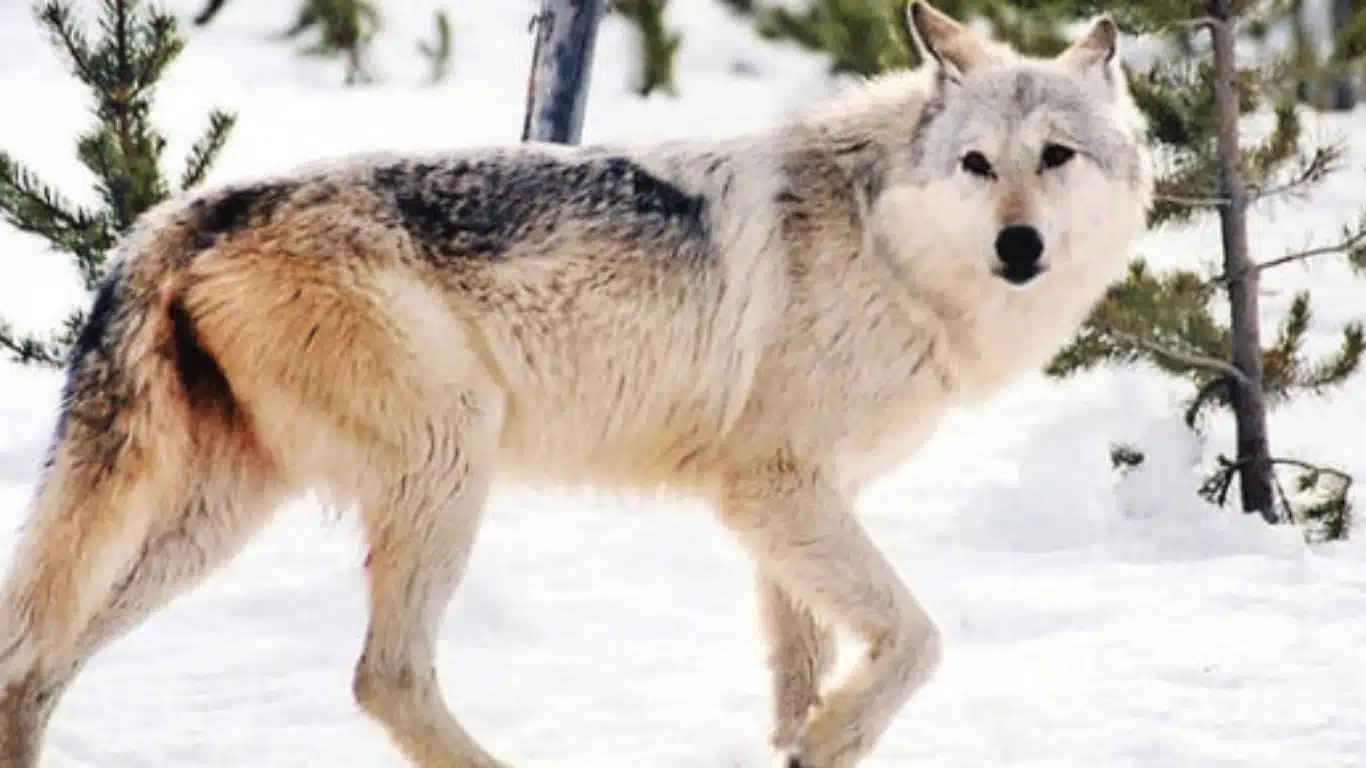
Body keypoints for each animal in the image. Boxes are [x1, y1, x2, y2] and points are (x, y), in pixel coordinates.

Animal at [0, 2, 1152, 766]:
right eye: (975, 164)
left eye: (1056, 156)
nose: (1018, 246)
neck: (885, 244)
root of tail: (182, 213)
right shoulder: (775, 490)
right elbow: (915, 640)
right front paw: (836, 733)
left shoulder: (790, 508)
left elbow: (801, 672)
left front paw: (804, 741)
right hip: (445, 465)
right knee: (386, 675)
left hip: (212, 521)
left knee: (30, 666)